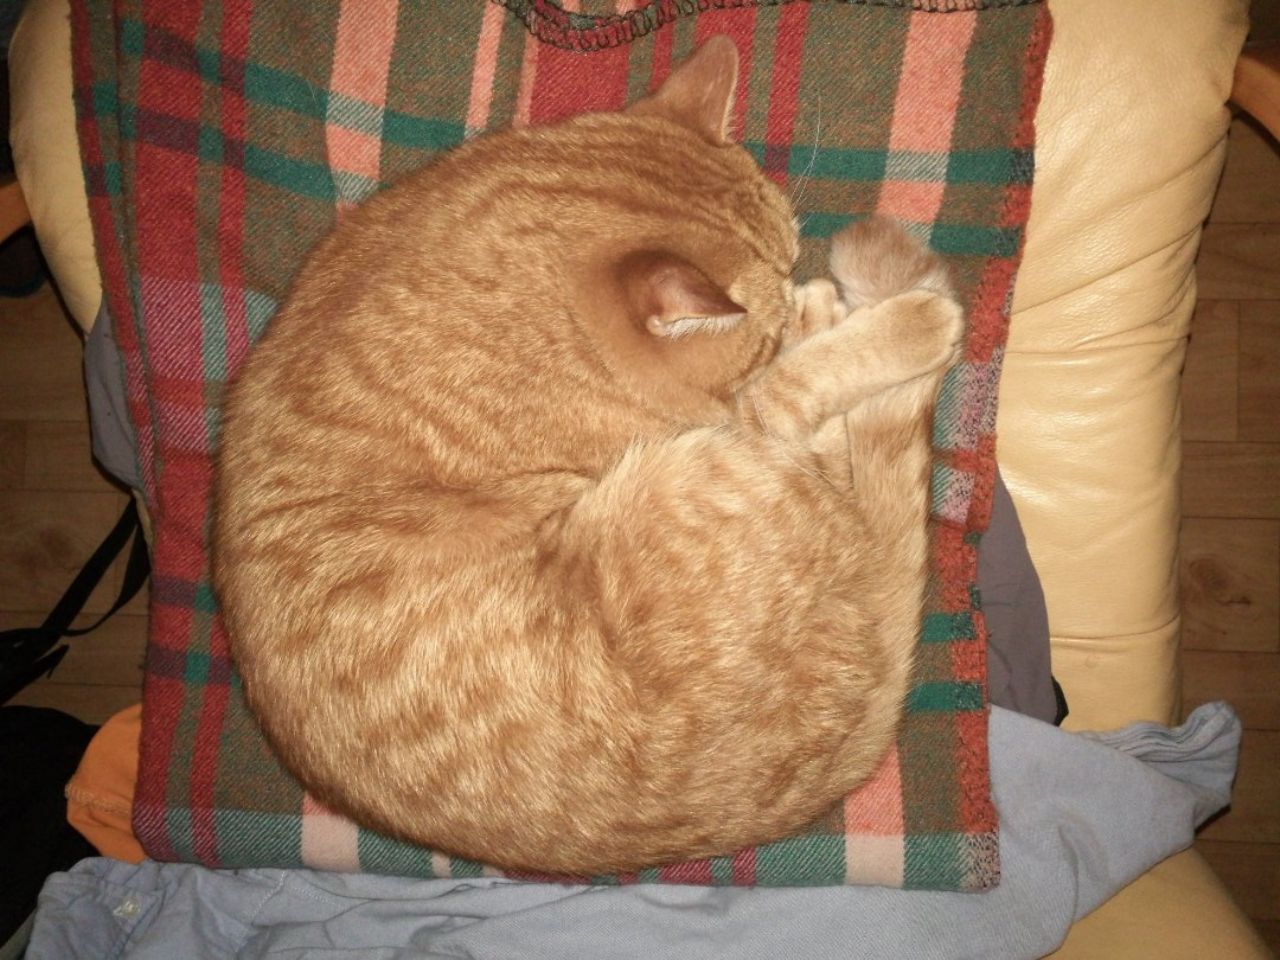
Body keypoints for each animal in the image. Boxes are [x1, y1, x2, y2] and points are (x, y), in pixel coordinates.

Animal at [213, 35, 963, 875]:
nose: (791, 287)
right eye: (757, 332)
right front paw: (891, 323)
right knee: (827, 447)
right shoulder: (745, 420)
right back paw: (861, 317)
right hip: (721, 475)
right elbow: (800, 381)